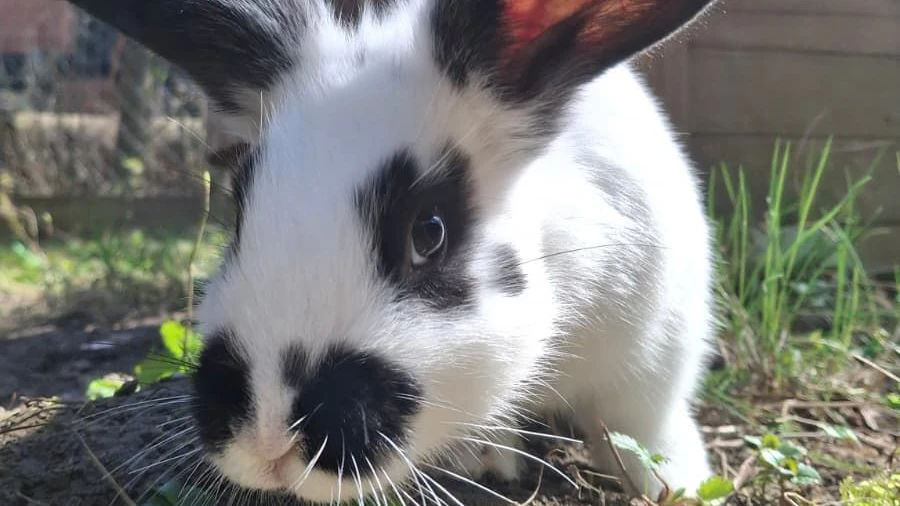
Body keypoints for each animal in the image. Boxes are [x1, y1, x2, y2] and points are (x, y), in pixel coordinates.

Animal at [65, 0, 720, 502]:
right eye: (240, 209)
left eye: (429, 233)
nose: (268, 442)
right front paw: (481, 457)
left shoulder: (654, 354)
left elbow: (645, 427)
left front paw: (677, 485)